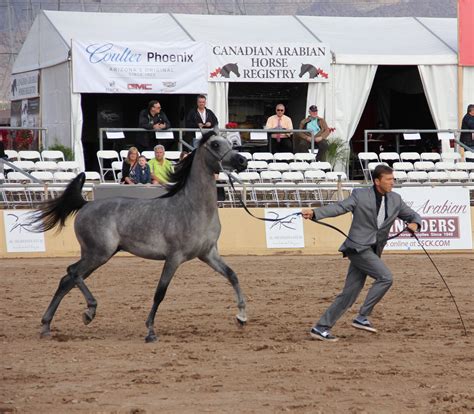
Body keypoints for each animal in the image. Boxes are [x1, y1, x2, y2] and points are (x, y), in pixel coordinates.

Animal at [30, 130, 248, 342]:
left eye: (230, 143)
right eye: (215, 144)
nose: (242, 161)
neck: (193, 208)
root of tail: (86, 204)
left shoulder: (208, 254)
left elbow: (232, 275)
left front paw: (241, 317)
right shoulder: (174, 258)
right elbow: (160, 293)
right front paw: (150, 331)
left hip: (97, 256)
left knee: (67, 280)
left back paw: (46, 327)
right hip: (98, 254)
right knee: (72, 272)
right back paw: (89, 311)